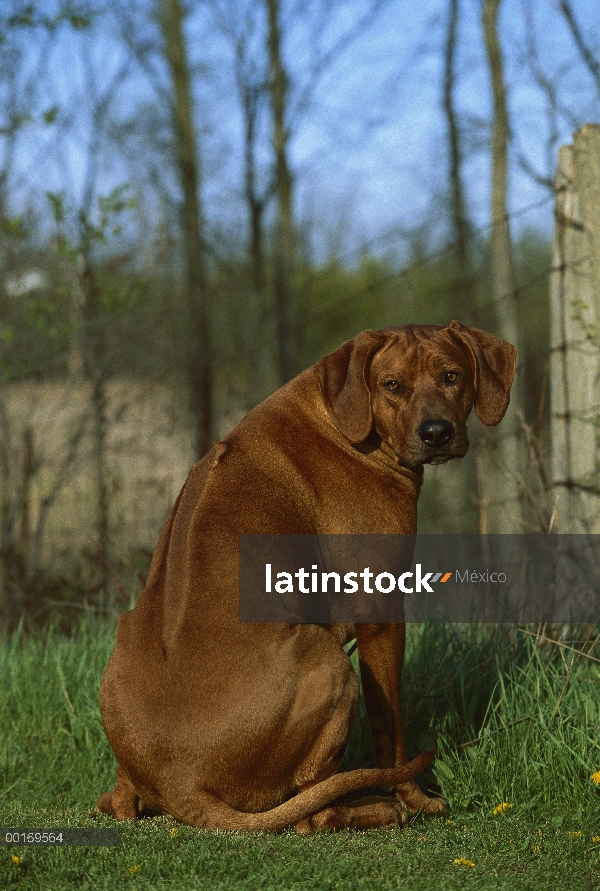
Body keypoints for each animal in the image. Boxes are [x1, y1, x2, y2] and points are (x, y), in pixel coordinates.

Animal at [97, 322, 516, 836]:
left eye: (452, 375)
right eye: (393, 385)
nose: (436, 433)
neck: (342, 420)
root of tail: (180, 784)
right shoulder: (381, 609)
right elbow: (390, 724)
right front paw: (414, 797)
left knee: (121, 801)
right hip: (328, 664)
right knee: (313, 814)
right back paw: (377, 807)